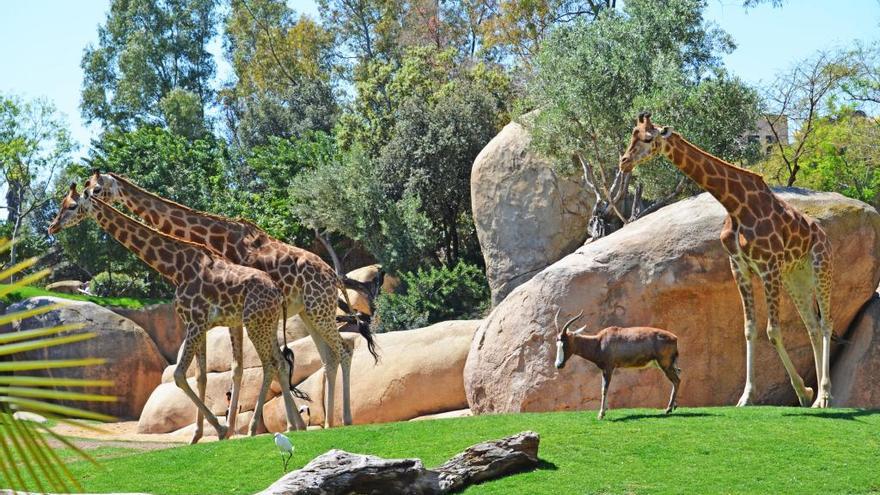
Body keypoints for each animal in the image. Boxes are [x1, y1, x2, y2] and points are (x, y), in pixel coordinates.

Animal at [49, 184, 310, 440]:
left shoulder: (195, 322)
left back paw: (258, 428)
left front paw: (220, 429)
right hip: (265, 323)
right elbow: (200, 376)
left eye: (71, 206)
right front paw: (202, 434)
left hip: (255, 323)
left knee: (269, 364)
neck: (174, 268)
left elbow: (178, 374)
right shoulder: (199, 324)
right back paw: (295, 426)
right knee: (279, 362)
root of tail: (278, 293)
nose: (53, 226)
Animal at [83, 171, 382, 426]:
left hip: (316, 309)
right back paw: (330, 422)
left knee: (342, 350)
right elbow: (245, 366)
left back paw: (344, 419)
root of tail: (333, 276)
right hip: (308, 312)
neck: (215, 237)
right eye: (87, 189)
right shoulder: (240, 313)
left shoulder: (243, 310)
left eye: (96, 189)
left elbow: (263, 363)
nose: (84, 202)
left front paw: (269, 426)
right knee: (329, 357)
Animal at [552, 312, 684, 420]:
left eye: (565, 343)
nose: (558, 365)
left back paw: (668, 409)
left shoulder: (609, 368)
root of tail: (675, 338)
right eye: (557, 343)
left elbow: (604, 389)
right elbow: (603, 388)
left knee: (677, 380)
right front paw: (604, 411)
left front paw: (601, 414)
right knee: (677, 375)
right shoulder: (604, 370)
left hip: (665, 365)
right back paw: (673, 406)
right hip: (667, 365)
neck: (599, 341)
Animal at [620, 113, 832, 410]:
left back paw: (824, 395)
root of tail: (822, 233)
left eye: (649, 138)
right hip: (796, 277)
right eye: (633, 135)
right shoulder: (740, 267)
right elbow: (749, 330)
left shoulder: (768, 266)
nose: (624, 161)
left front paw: (803, 391)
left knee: (826, 324)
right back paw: (817, 398)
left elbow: (772, 331)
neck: (734, 205)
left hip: (822, 267)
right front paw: (747, 396)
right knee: (811, 325)